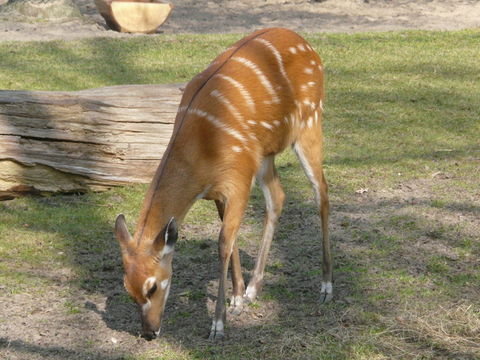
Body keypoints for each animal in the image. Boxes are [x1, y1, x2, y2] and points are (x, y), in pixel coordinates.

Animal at [115, 27, 332, 340]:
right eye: (127, 288)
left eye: (152, 286)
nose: (149, 332)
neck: (202, 148)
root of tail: (307, 44)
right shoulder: (220, 189)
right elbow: (231, 239)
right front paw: (238, 298)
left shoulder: (238, 180)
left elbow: (223, 244)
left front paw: (218, 324)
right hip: (265, 155)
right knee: (278, 196)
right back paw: (254, 288)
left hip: (309, 124)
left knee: (322, 191)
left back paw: (326, 286)